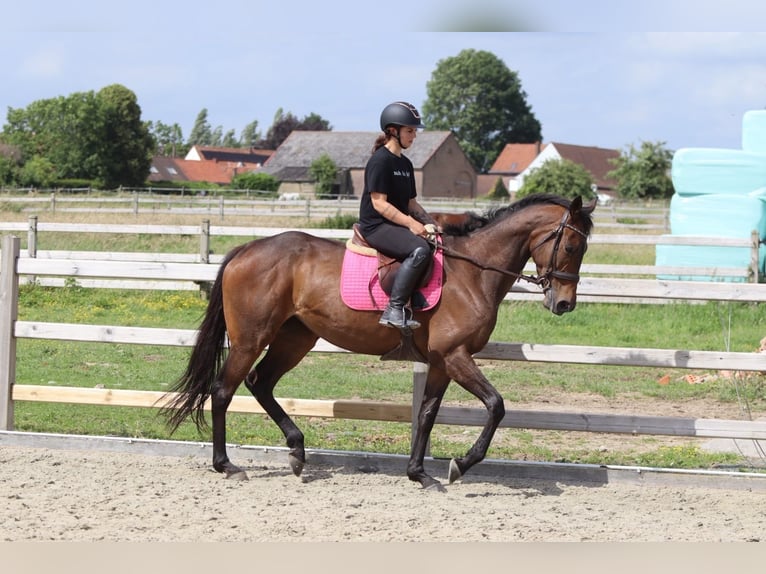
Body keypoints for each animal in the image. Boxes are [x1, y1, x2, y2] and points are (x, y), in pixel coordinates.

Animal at [162, 193, 596, 491]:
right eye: (572, 246)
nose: (564, 304)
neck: (473, 273)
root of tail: (246, 249)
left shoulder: (441, 361)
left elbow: (427, 414)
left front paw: (419, 473)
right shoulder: (455, 355)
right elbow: (496, 405)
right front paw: (461, 464)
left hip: (294, 339)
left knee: (260, 384)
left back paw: (297, 451)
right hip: (251, 340)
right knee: (223, 390)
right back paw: (226, 464)